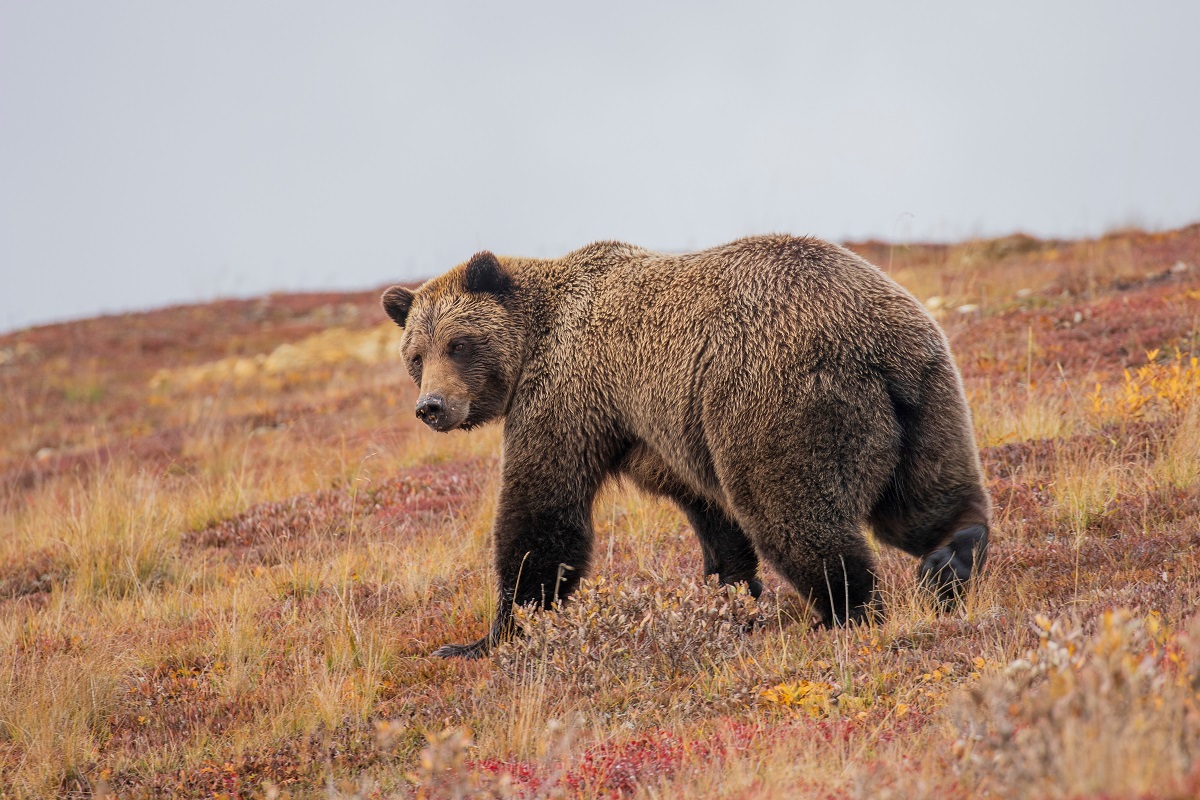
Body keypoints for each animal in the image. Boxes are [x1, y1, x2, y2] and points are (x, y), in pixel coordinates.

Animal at [381, 236, 990, 658]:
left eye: (459, 344)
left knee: (793, 513)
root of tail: (877, 342)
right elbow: (711, 513)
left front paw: (488, 635)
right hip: (927, 398)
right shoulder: (661, 432)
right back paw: (952, 557)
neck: (538, 335)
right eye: (415, 355)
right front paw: (732, 596)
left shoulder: (566, 395)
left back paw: (846, 610)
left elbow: (542, 512)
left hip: (775, 401)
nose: (432, 405)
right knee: (925, 498)